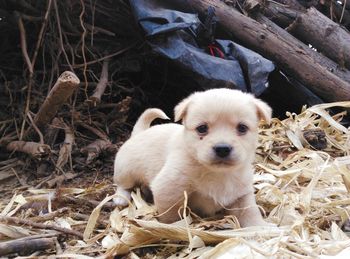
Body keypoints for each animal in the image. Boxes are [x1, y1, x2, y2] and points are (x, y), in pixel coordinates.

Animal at [113, 89, 272, 228]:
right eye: (202, 128)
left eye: (242, 128)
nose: (222, 148)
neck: (217, 173)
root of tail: (140, 133)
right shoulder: (168, 189)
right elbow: (171, 215)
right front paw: (173, 227)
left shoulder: (242, 194)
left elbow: (250, 212)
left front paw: (262, 227)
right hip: (125, 170)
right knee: (123, 185)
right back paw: (121, 198)